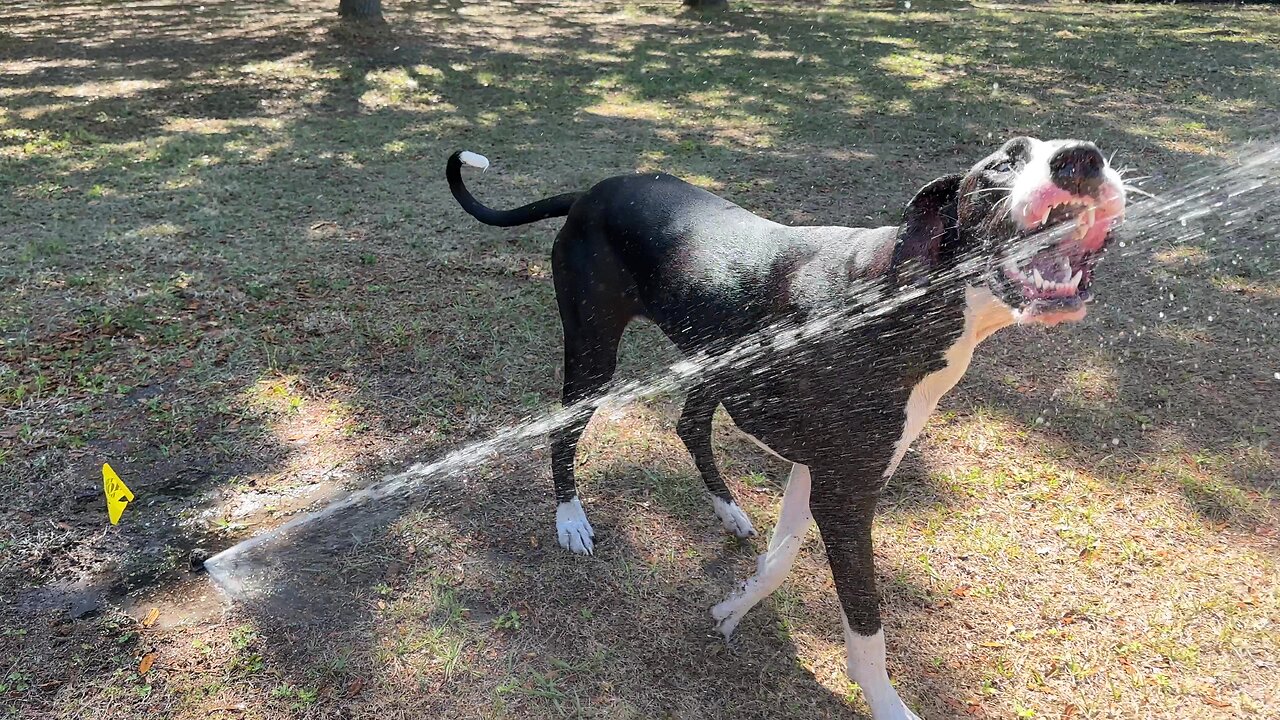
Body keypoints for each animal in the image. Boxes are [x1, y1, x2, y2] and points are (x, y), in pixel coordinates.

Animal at [448, 137, 1121, 712]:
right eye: (1004, 163)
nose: (1083, 160)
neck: (904, 294)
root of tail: (589, 193)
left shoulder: (823, 470)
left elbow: (782, 556)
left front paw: (737, 605)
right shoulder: (845, 495)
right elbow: (866, 625)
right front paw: (886, 703)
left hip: (712, 362)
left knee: (690, 424)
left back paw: (726, 510)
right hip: (592, 355)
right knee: (564, 432)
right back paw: (571, 519)